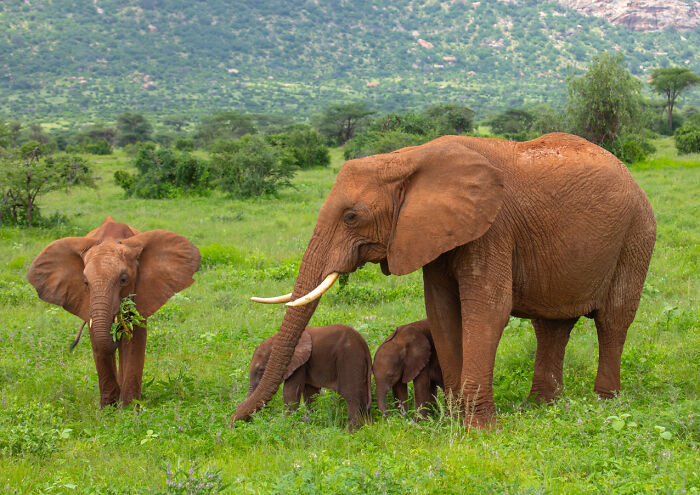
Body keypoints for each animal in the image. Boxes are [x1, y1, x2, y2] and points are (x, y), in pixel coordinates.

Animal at [27, 216, 201, 407]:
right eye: (85, 283)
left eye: (124, 280)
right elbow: (98, 341)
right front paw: (108, 409)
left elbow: (134, 339)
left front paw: (129, 408)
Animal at [236, 133, 656, 428]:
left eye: (352, 216)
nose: (233, 421)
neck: (408, 158)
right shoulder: (433, 234)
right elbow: (441, 312)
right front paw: (453, 420)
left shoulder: (493, 227)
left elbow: (488, 309)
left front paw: (478, 428)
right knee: (551, 326)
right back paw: (539, 406)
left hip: (637, 234)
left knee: (613, 319)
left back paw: (604, 403)